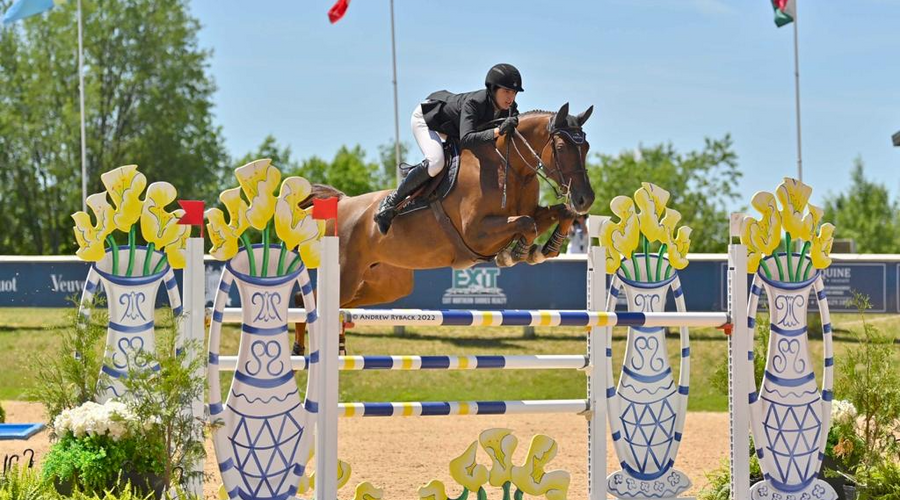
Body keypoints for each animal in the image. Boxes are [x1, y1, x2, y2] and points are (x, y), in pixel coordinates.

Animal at [293, 102, 595, 355]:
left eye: (586, 147)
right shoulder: (476, 233)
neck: (510, 167)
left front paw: (546, 249)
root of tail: (342, 203)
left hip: (384, 285)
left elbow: (558, 213)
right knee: (304, 301)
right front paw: (516, 253)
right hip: (346, 275)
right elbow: (526, 224)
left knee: (332, 303)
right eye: (560, 147)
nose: (586, 199)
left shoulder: (527, 214)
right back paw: (299, 351)